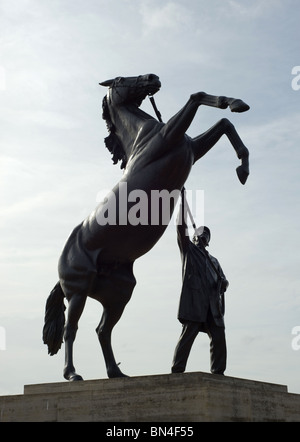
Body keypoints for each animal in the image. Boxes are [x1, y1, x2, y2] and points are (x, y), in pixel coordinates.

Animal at [43, 72, 250, 380]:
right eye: (120, 79)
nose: (153, 77)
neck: (143, 134)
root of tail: (63, 263)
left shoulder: (191, 147)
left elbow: (224, 123)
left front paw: (243, 166)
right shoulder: (170, 137)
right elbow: (196, 96)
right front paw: (235, 105)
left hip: (118, 296)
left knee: (103, 330)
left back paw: (116, 373)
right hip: (78, 292)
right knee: (71, 330)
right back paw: (72, 374)